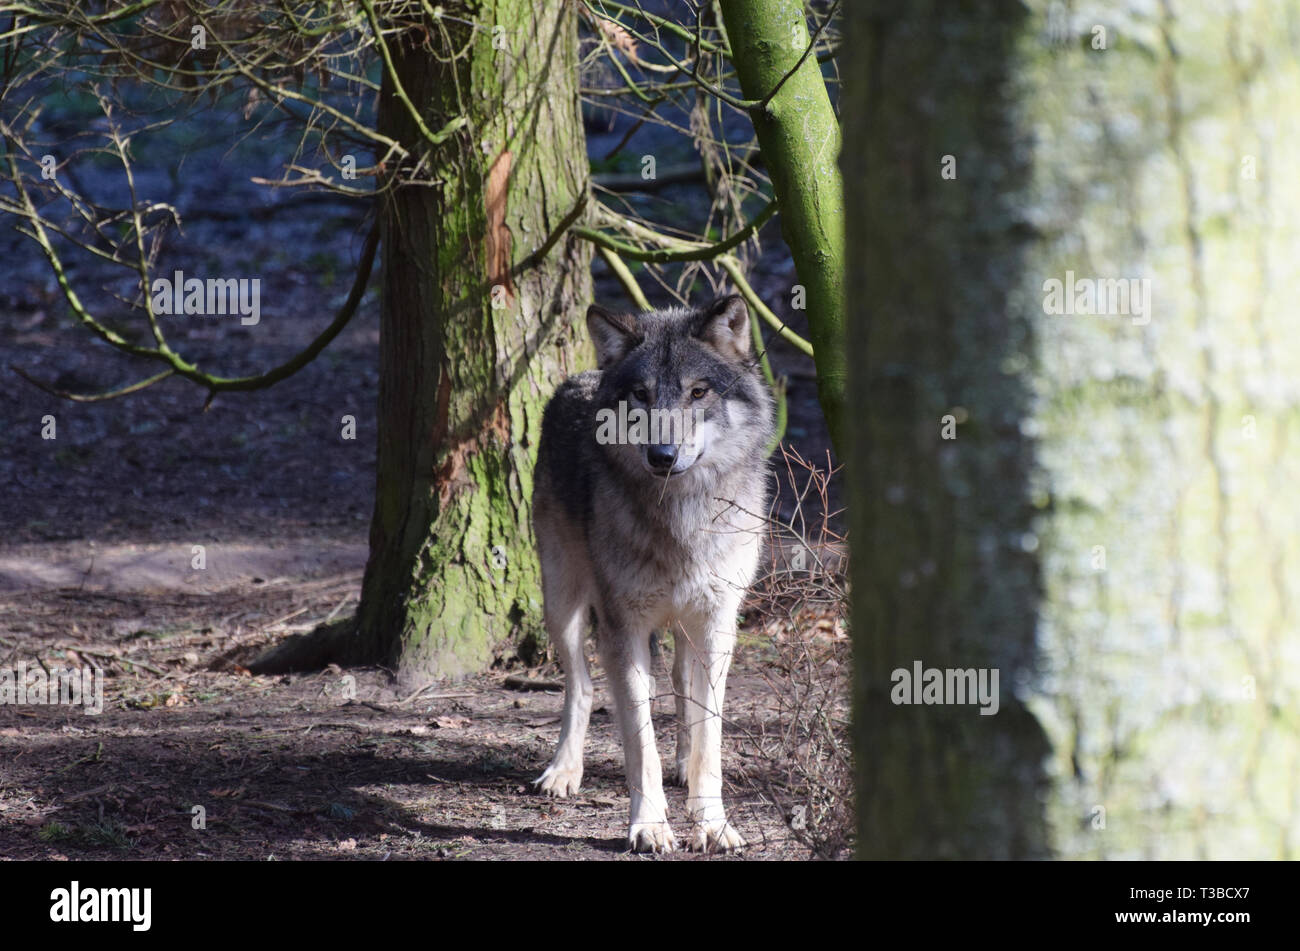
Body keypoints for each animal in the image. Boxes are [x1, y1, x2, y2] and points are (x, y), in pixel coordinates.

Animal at [533, 293, 774, 852]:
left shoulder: (718, 622)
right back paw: (564, 771)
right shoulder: (624, 627)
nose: (662, 455)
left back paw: (682, 765)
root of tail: (580, 374)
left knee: (684, 688)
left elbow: (710, 735)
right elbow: (640, 742)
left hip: (688, 625)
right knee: (581, 685)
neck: (680, 515)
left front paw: (712, 824)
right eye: (640, 395)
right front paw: (649, 827)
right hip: (563, 602)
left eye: (698, 391)